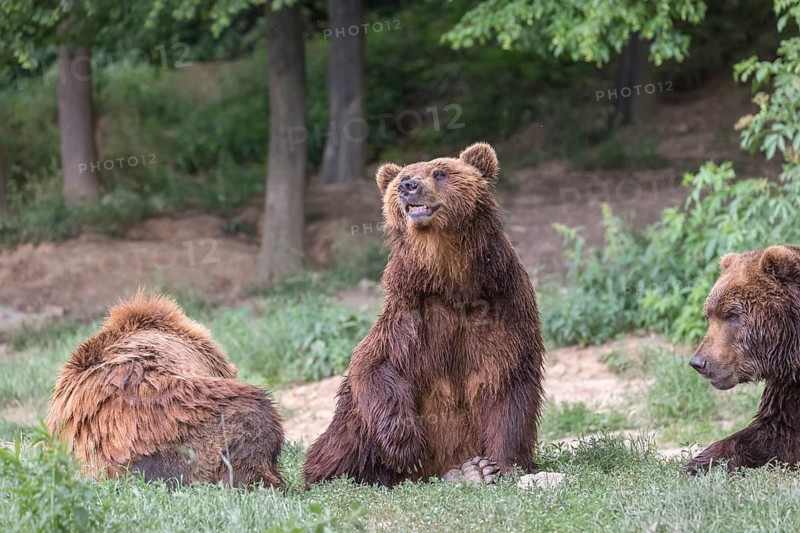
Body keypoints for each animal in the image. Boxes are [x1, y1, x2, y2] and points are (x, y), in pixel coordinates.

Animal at [302, 142, 546, 487]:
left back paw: (471, 469)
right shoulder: (412, 314)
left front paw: (499, 465)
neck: (453, 285)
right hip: (356, 425)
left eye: (440, 172)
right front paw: (407, 447)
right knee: (344, 437)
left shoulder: (502, 306)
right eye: (403, 176)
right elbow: (377, 364)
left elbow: (508, 383)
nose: (408, 186)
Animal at [686, 245, 800, 474]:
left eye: (732, 315)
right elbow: (774, 431)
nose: (699, 362)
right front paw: (696, 465)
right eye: (709, 316)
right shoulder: (787, 387)